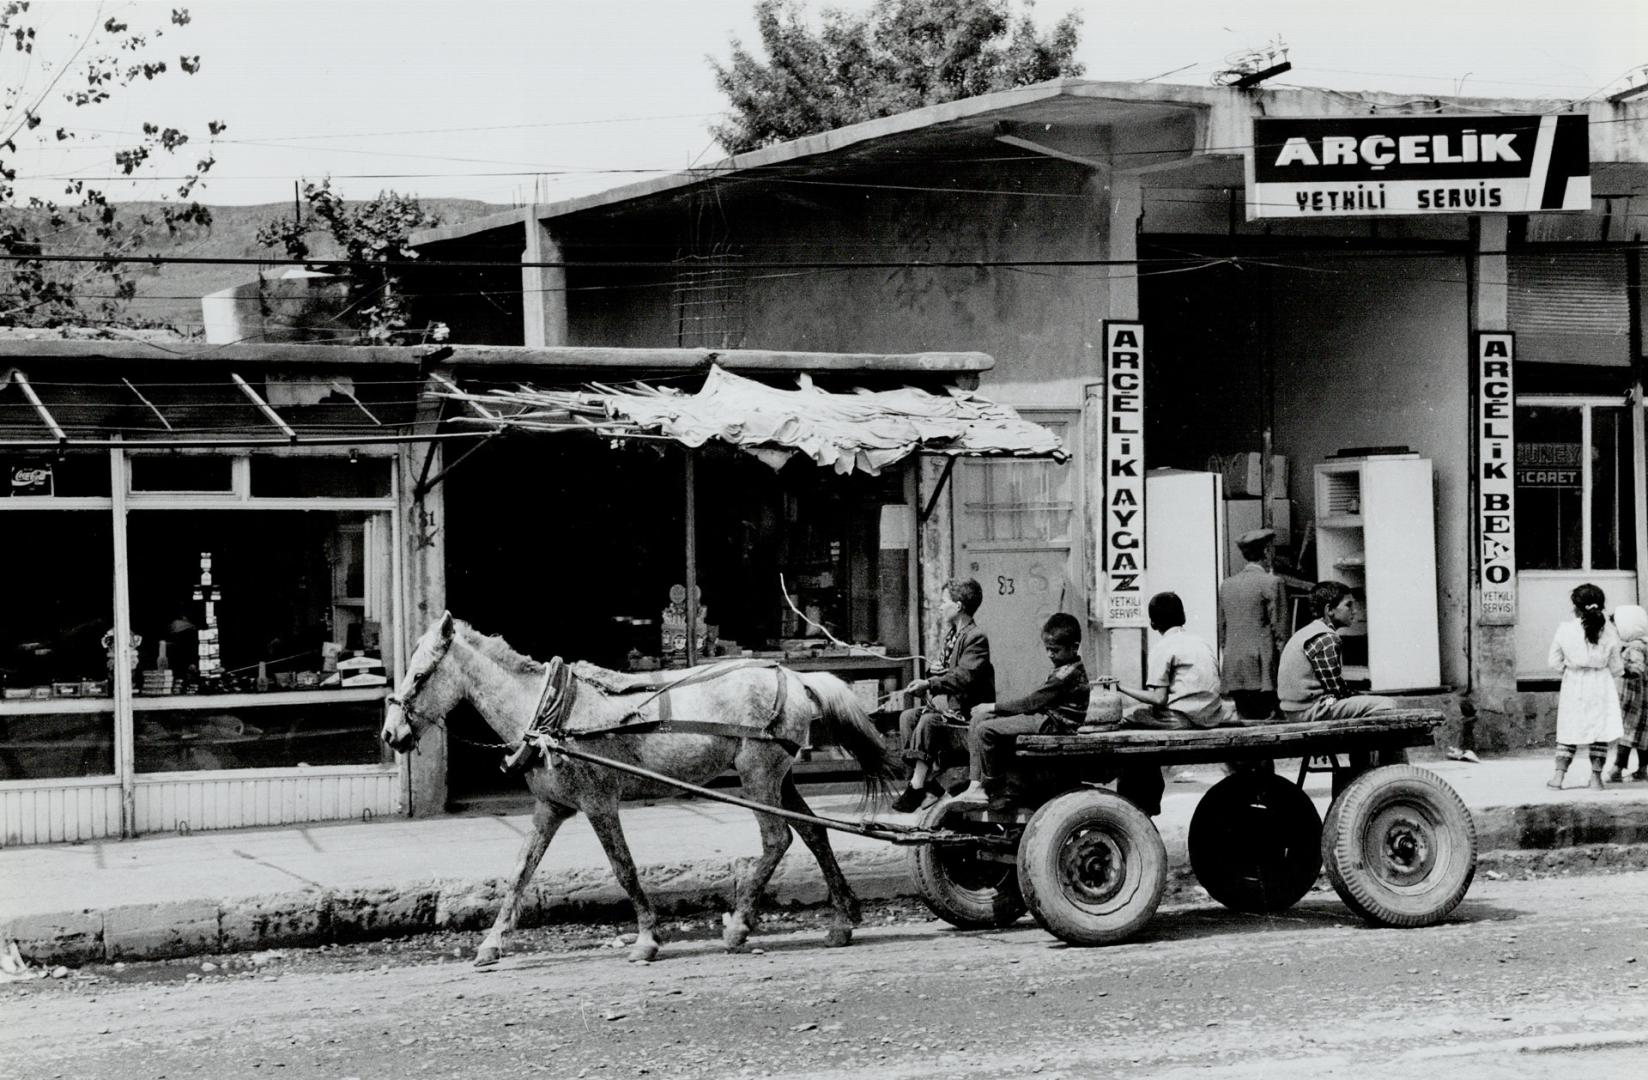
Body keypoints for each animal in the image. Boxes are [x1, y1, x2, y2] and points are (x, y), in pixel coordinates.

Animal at [379, 613, 896, 969]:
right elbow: (520, 872)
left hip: (757, 776)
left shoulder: (598, 803)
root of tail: (796, 677)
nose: (390, 734)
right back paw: (842, 920)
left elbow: (623, 868)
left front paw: (647, 939)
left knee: (777, 839)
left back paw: (738, 926)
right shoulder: (550, 808)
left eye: (420, 675)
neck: (549, 715)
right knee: (815, 835)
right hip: (780, 778)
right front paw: (491, 943)